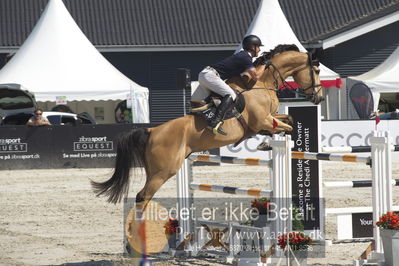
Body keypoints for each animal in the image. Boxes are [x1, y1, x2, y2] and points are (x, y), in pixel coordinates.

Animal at [93, 44, 324, 210]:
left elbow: (288, 120)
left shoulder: (269, 118)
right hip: (164, 170)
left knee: (143, 197)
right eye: (316, 70)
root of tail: (152, 131)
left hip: (155, 169)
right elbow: (284, 126)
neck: (262, 83)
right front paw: (268, 143)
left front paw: (267, 142)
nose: (320, 98)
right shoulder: (262, 120)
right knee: (143, 196)